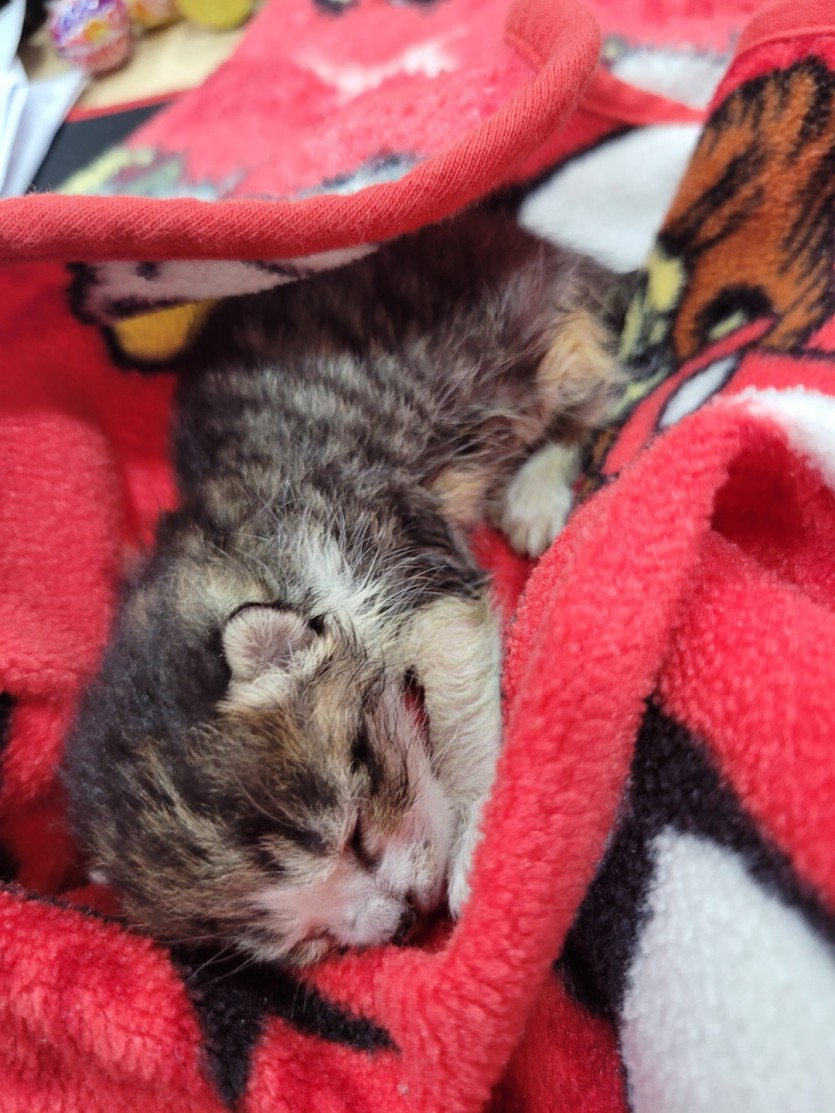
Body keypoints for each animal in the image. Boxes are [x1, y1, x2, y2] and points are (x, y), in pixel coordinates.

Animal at [62, 207, 627, 966]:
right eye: (309, 941)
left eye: (356, 834)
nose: (401, 923)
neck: (245, 549)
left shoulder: (396, 554)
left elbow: (458, 696)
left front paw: (475, 845)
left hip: (551, 338)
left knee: (579, 400)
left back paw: (536, 495)